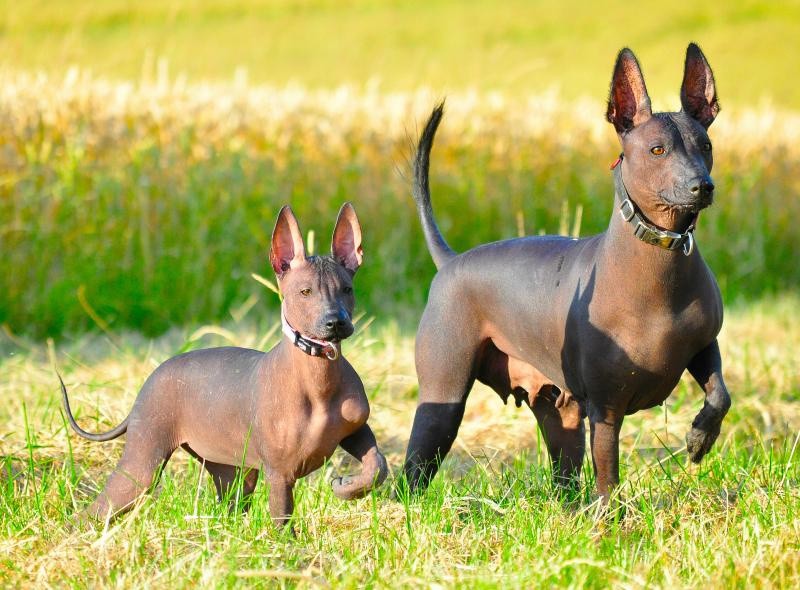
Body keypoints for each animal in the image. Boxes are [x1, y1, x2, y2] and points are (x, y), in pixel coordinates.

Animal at [61, 202, 390, 528]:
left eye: (347, 289)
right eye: (305, 292)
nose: (336, 322)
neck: (319, 378)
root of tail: (149, 381)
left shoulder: (355, 430)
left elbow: (378, 465)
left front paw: (346, 486)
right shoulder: (279, 474)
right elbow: (282, 521)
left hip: (232, 470)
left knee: (230, 506)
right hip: (144, 462)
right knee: (99, 509)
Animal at [406, 44, 732, 502]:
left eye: (705, 145)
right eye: (657, 150)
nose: (701, 185)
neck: (659, 266)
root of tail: (451, 261)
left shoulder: (703, 345)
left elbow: (720, 394)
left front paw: (701, 438)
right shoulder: (606, 408)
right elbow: (608, 474)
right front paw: (611, 518)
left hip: (559, 415)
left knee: (565, 475)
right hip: (444, 397)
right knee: (413, 471)